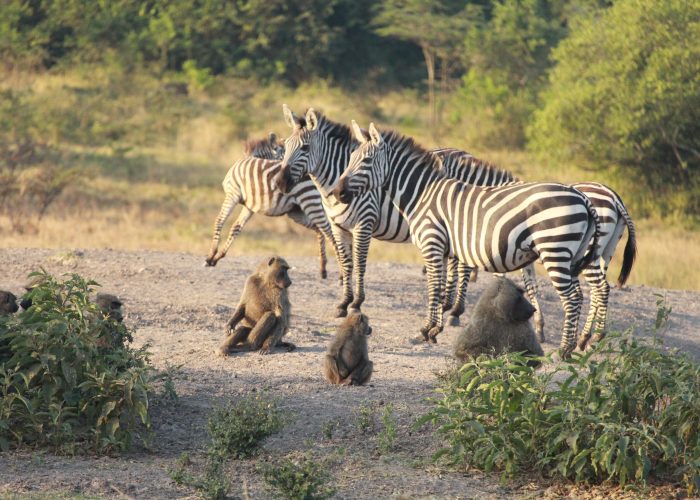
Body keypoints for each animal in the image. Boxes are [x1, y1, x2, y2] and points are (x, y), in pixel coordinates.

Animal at [204, 133, 338, 280]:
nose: (284, 179)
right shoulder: (250, 207)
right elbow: (236, 228)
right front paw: (218, 256)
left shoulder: (232, 193)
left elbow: (219, 220)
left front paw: (211, 255)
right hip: (298, 212)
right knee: (320, 230)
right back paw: (323, 268)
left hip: (310, 203)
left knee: (329, 231)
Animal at [276, 107, 478, 322]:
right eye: (285, 146)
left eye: (305, 148)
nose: (280, 182)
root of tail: (469, 154)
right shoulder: (338, 227)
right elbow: (347, 263)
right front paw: (343, 303)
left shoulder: (363, 224)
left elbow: (360, 263)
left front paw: (356, 303)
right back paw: (446, 305)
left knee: (464, 264)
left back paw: (455, 311)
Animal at [334, 123, 600, 354]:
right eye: (350, 158)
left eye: (366, 161)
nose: (337, 192)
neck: (422, 194)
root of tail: (580, 197)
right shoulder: (442, 249)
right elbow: (441, 287)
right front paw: (435, 328)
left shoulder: (432, 243)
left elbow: (434, 288)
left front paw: (427, 329)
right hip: (571, 256)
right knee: (580, 294)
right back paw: (575, 345)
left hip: (554, 250)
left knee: (572, 298)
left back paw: (565, 350)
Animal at [440, 150, 636, 350]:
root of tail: (614, 197)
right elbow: (531, 286)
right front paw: (539, 327)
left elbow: (464, 269)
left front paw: (454, 311)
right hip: (605, 252)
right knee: (597, 291)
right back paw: (585, 337)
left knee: (600, 288)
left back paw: (592, 337)